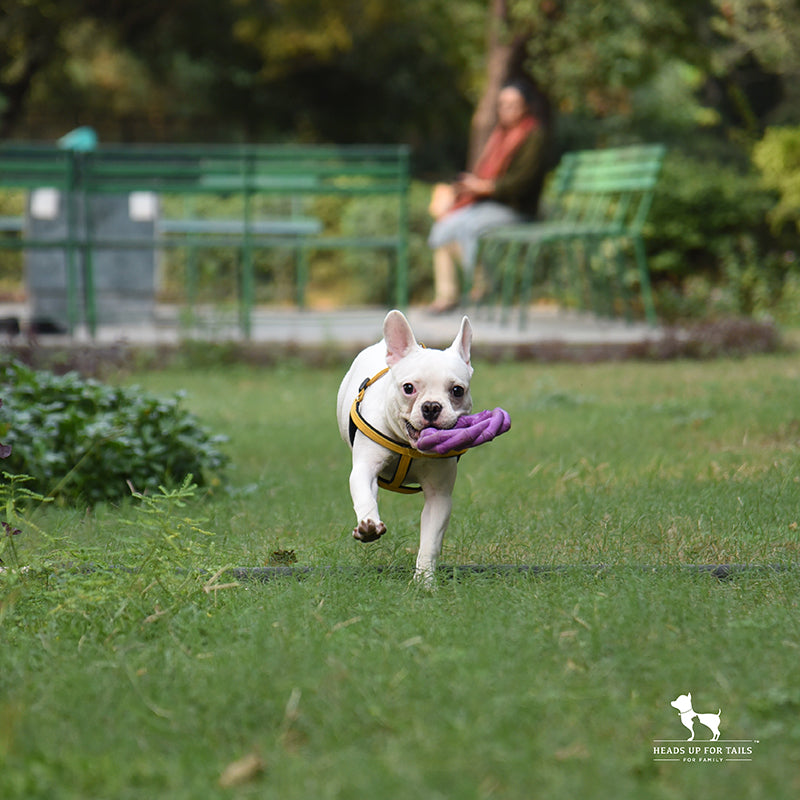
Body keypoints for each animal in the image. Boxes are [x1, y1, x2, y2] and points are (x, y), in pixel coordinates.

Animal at [336, 310, 472, 584]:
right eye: (409, 388)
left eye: (457, 390)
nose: (431, 406)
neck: (411, 447)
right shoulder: (365, 468)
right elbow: (364, 493)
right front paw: (368, 525)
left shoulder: (438, 496)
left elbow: (430, 541)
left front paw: (424, 581)